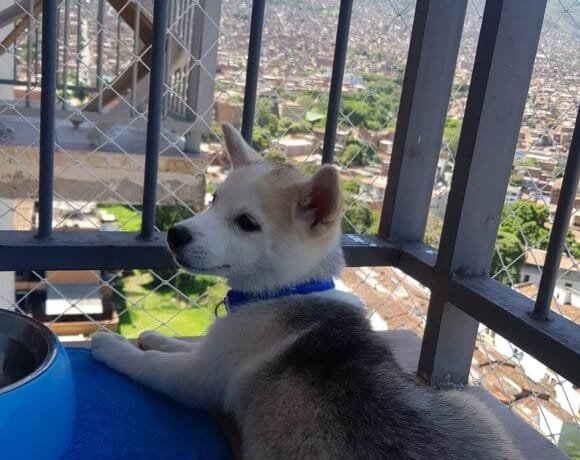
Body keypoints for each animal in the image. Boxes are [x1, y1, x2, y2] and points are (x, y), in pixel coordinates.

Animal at [92, 122, 520, 460]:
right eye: (214, 200)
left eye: (247, 223)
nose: (175, 234)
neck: (288, 291)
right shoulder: (213, 354)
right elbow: (186, 346)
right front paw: (156, 337)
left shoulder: (194, 379)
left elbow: (149, 364)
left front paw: (113, 346)